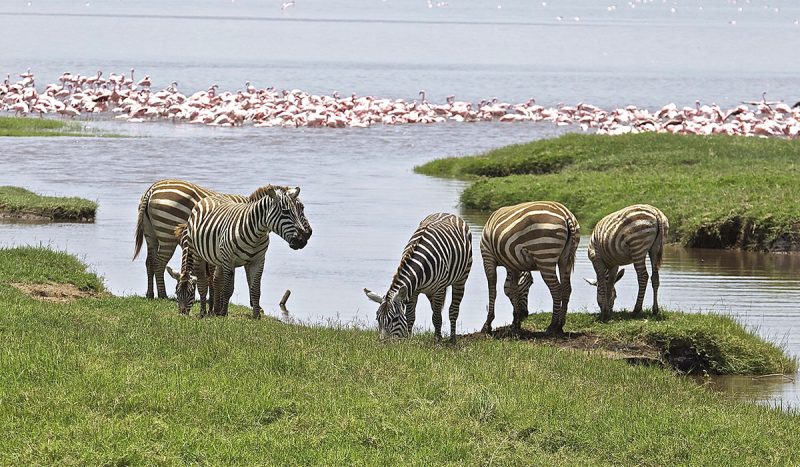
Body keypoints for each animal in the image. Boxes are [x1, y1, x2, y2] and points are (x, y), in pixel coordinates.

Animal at [133, 179, 310, 300]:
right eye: (299, 208)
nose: (307, 235)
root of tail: (151, 189)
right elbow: (244, 279)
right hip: (167, 235)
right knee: (159, 263)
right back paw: (162, 295)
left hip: (151, 235)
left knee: (149, 262)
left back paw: (150, 294)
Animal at [178, 185, 312, 319]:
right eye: (286, 212)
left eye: (300, 209)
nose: (303, 239)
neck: (258, 233)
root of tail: (209, 197)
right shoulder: (229, 260)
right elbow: (228, 289)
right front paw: (224, 313)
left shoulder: (258, 261)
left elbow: (256, 289)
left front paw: (256, 315)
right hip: (198, 253)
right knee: (203, 282)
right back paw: (204, 312)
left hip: (218, 258)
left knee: (216, 280)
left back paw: (215, 310)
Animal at [363, 213, 472, 342]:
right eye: (377, 319)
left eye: (394, 319)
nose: (382, 344)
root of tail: (447, 213)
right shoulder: (412, 291)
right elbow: (410, 316)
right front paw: (409, 339)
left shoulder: (438, 289)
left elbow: (437, 318)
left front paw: (437, 341)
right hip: (431, 292)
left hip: (461, 279)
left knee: (453, 310)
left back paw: (452, 340)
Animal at [480, 201, 580, 336]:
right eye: (529, 284)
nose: (525, 315)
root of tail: (566, 214)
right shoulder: (513, 264)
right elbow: (512, 289)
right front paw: (515, 323)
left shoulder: (487, 256)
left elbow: (493, 290)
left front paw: (488, 324)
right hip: (565, 259)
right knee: (566, 288)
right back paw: (560, 326)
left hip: (545, 256)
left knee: (556, 289)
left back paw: (552, 326)